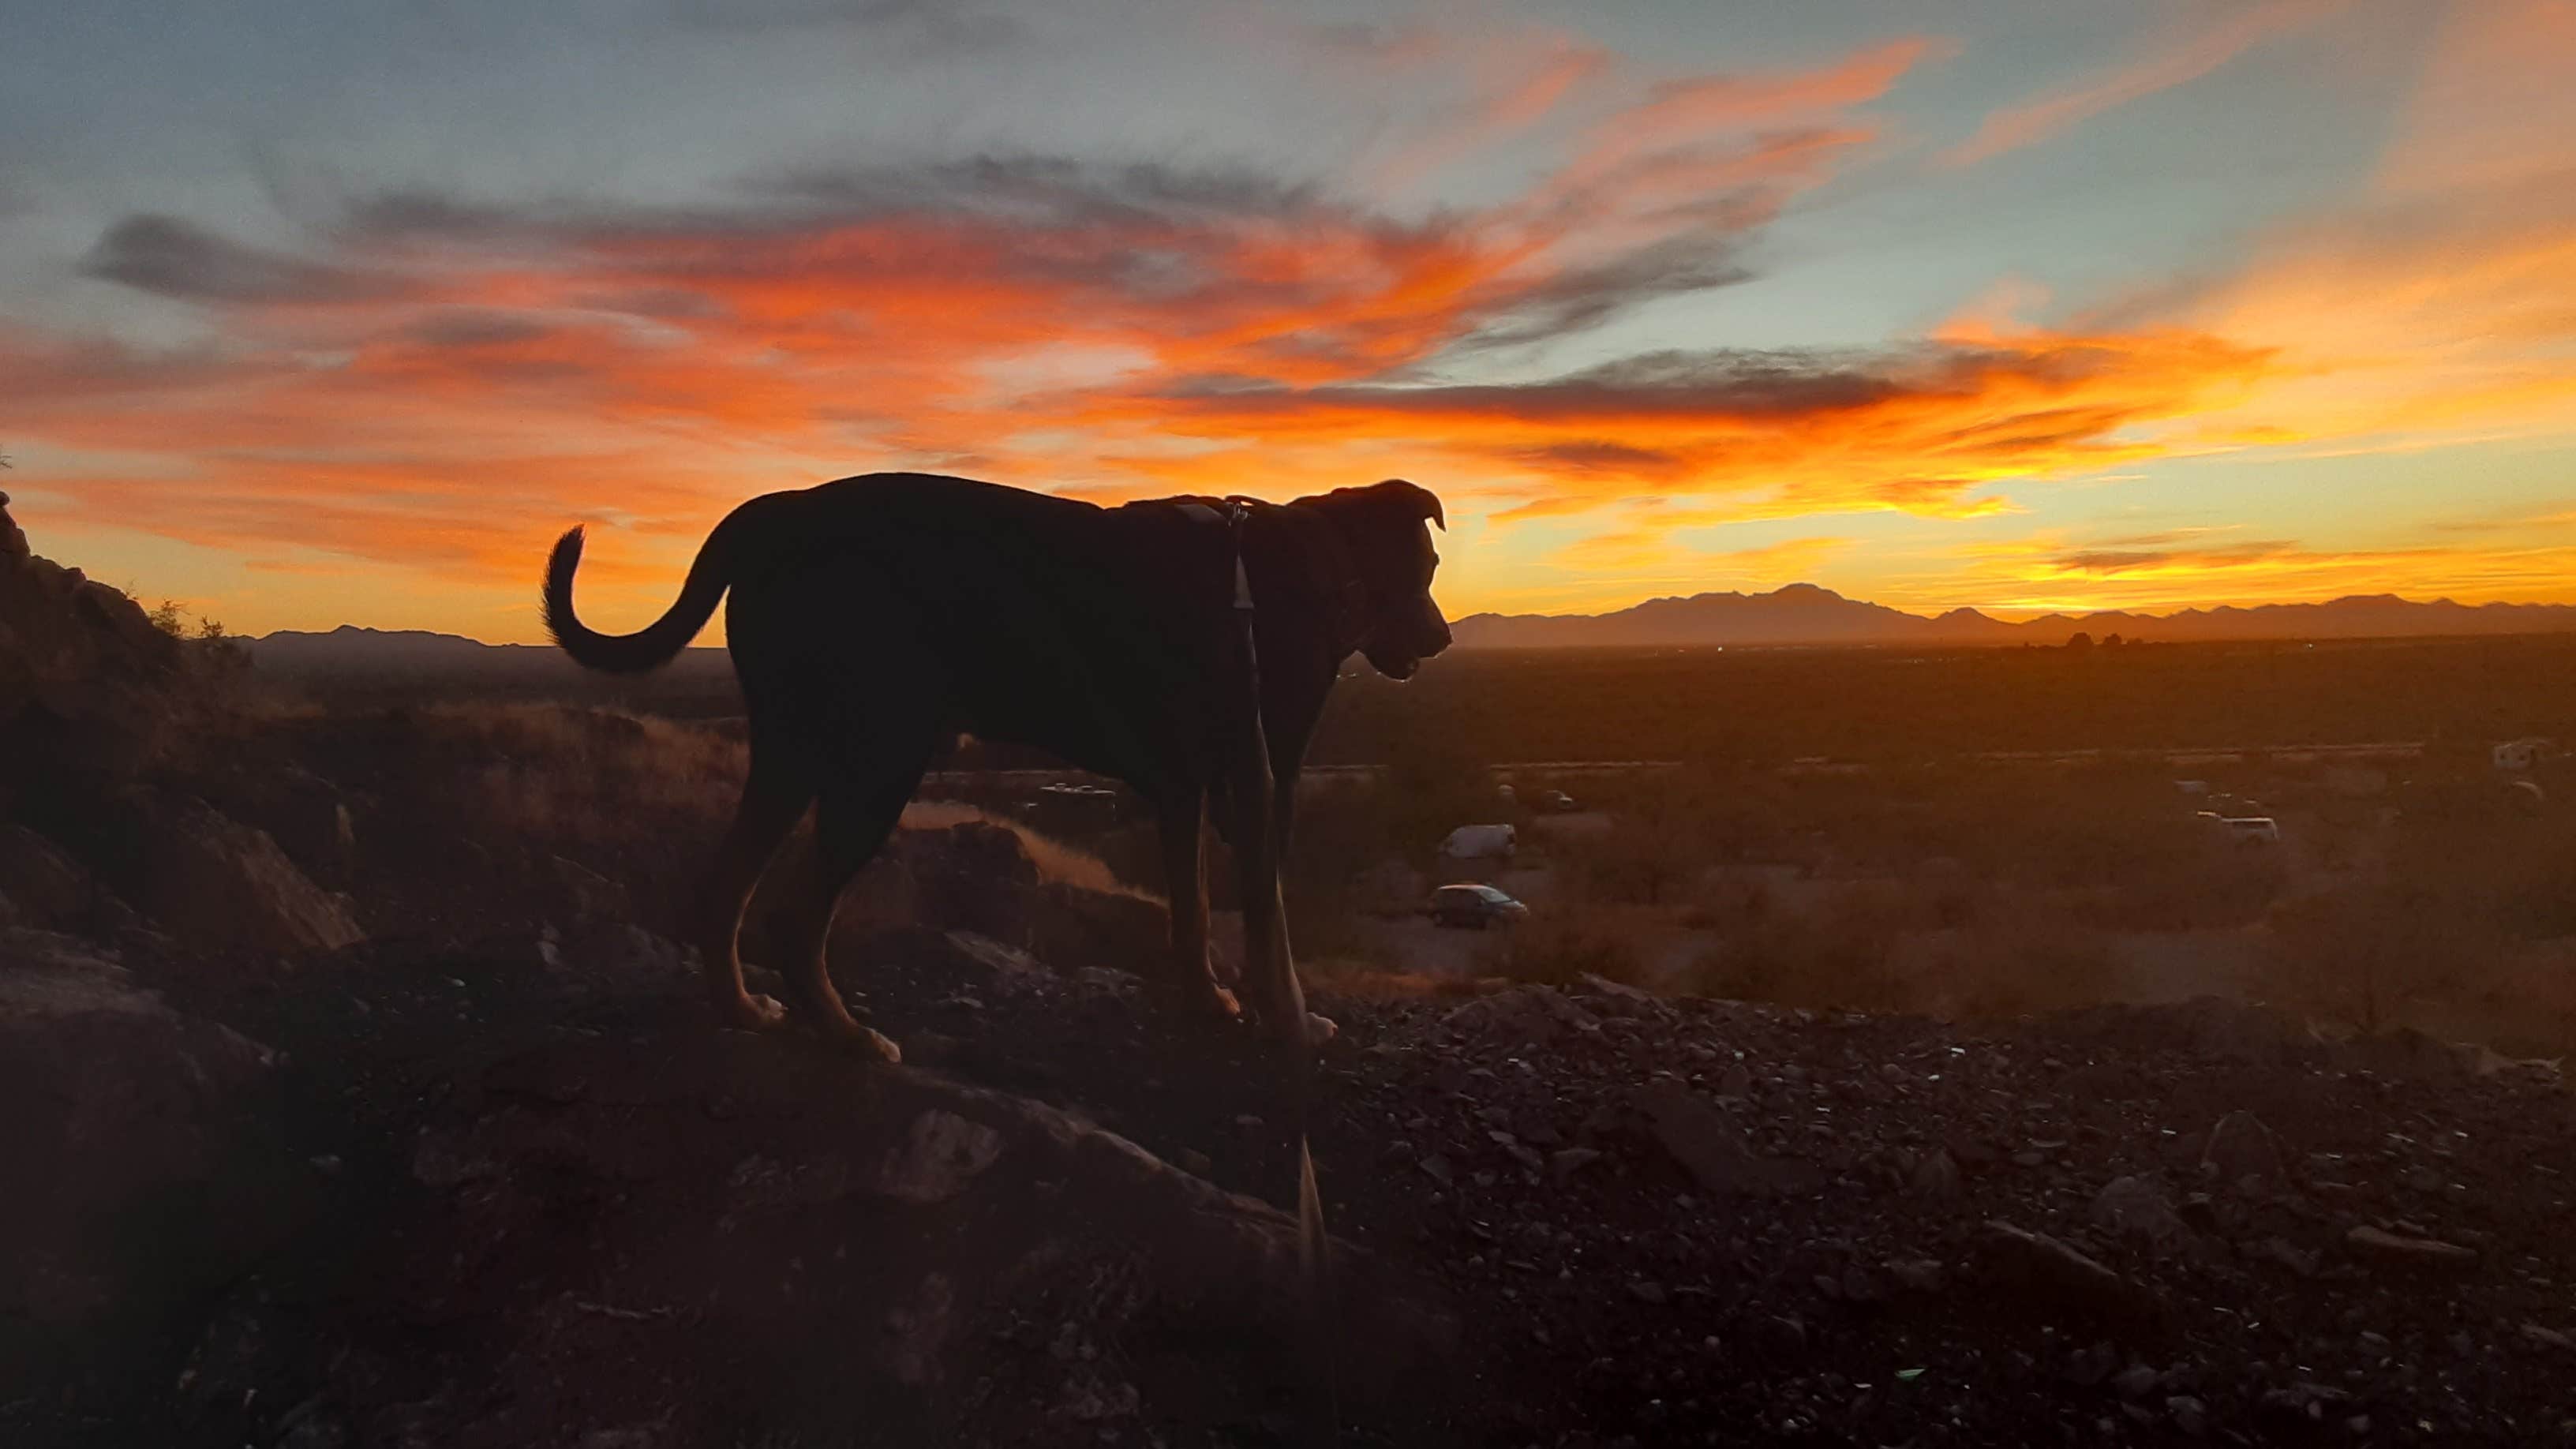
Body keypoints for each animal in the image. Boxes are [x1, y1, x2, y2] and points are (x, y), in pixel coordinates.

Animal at [538, 471, 1452, 1046]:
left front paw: (1207, 1000)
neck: (1310, 562)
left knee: (724, 890)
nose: (1444, 638)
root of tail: (780, 513)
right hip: (879, 757)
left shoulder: (1184, 792)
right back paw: (848, 1037)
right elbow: (1269, 924)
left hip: (792, 752)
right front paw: (1290, 1024)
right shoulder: (1264, 778)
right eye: (1433, 563)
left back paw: (746, 1011)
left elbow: (1192, 910)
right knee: (796, 917)